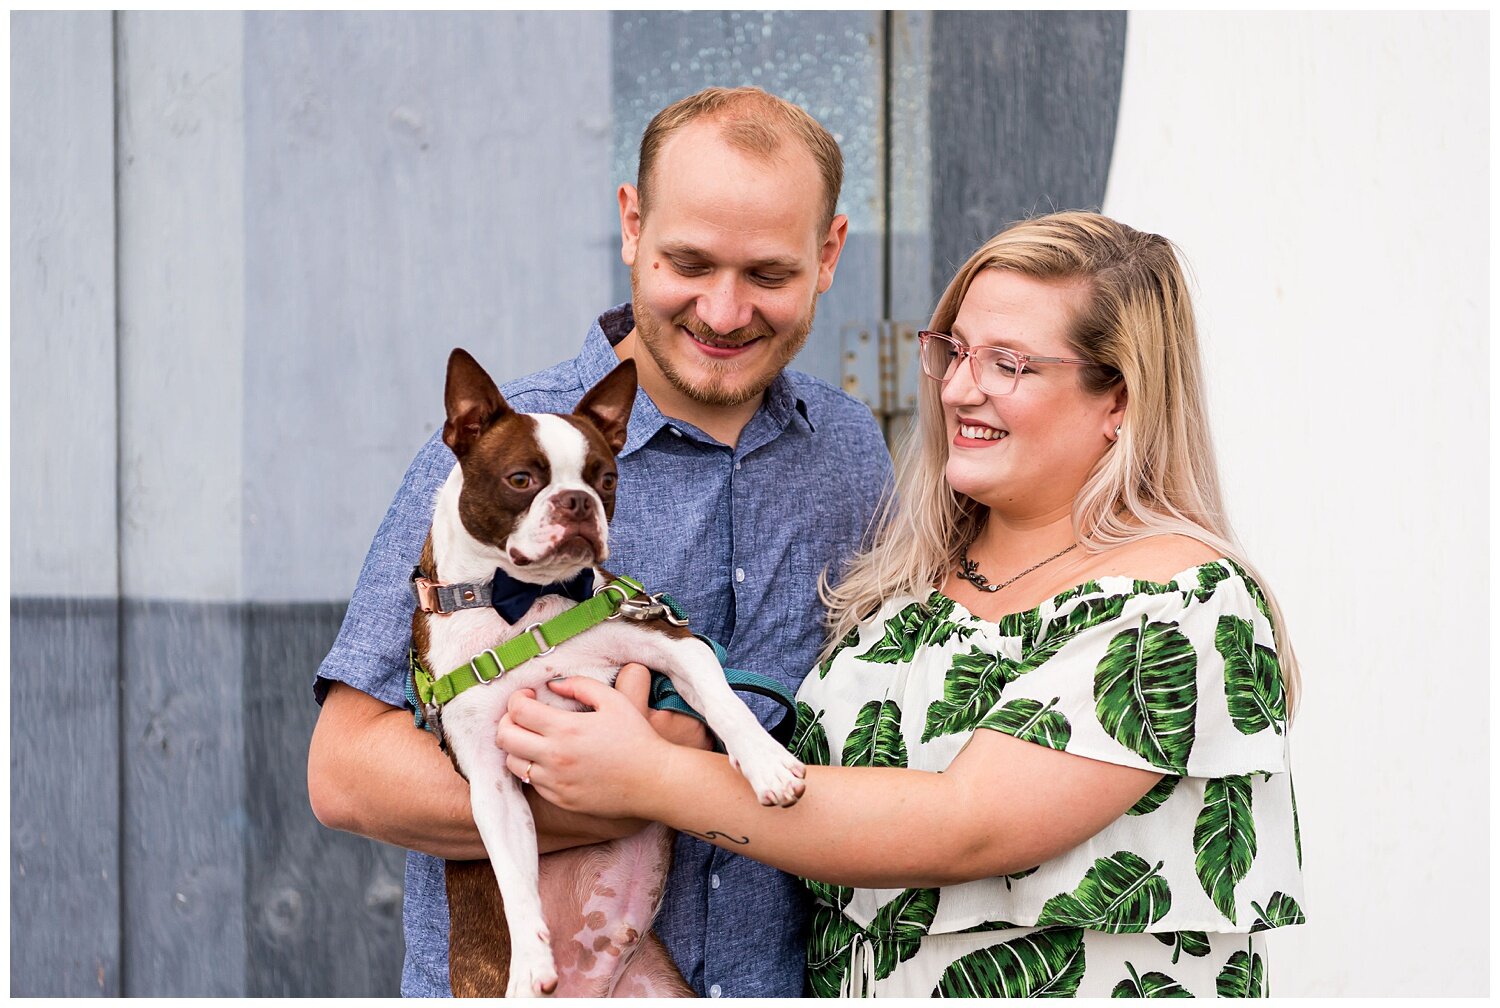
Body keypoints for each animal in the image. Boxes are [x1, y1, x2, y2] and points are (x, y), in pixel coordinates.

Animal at [411, 351, 810, 996]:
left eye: (606, 480)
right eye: (521, 479)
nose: (577, 501)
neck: (527, 605)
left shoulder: (671, 641)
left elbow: (727, 703)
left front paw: (766, 763)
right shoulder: (489, 780)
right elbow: (513, 879)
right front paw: (530, 963)